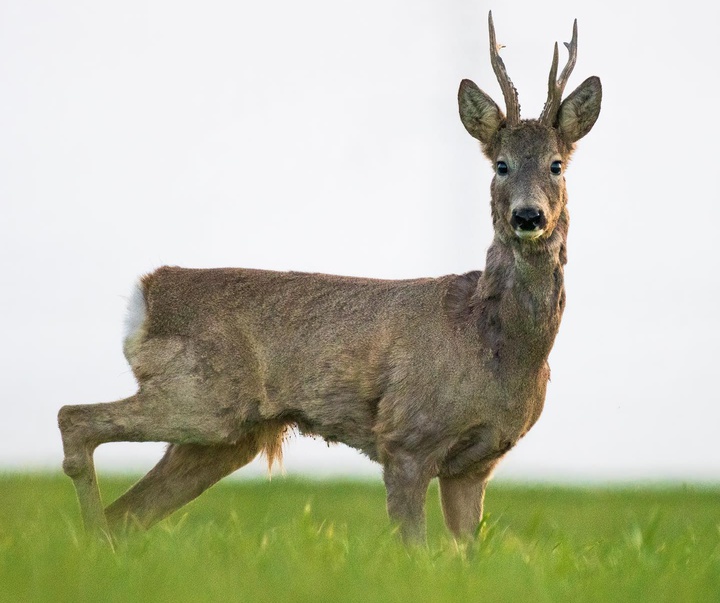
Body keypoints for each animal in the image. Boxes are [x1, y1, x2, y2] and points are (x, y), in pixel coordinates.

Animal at [59, 13, 600, 544]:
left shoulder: (475, 465)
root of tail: (146, 293)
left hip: (224, 436)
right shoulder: (406, 436)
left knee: (127, 513)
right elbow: (417, 552)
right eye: (501, 165)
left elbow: (468, 556)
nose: (528, 216)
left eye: (556, 165)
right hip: (200, 396)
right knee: (75, 420)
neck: (496, 343)